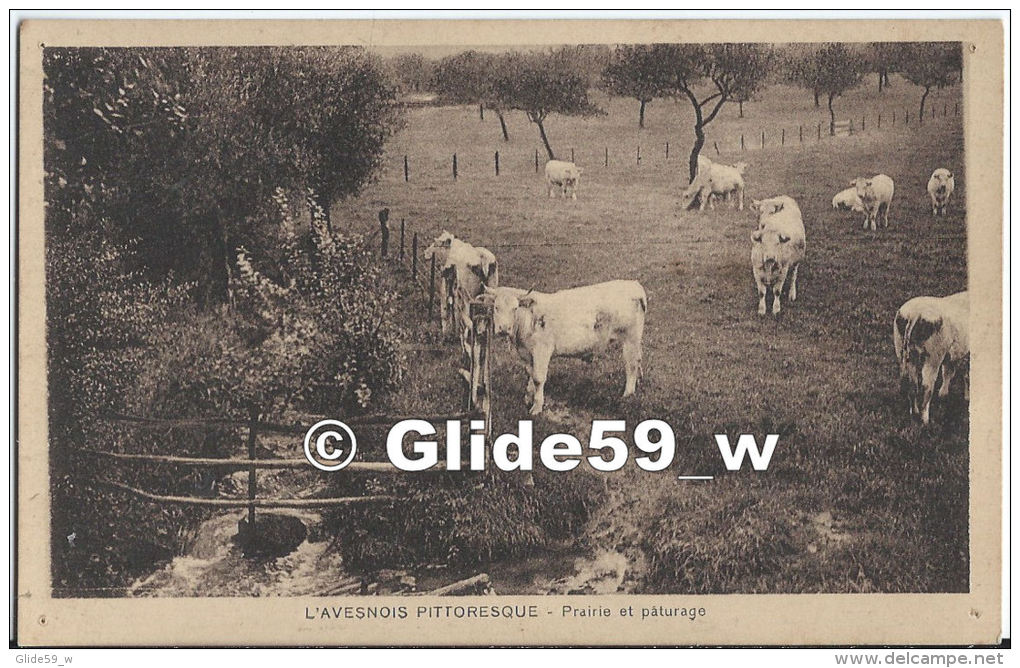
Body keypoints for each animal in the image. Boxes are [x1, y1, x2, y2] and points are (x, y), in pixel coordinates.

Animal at [483, 279, 644, 416]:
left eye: (515, 308)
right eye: (496, 307)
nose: (504, 329)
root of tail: (634, 285)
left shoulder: (542, 350)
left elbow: (538, 378)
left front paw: (537, 407)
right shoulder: (526, 353)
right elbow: (530, 373)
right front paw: (528, 399)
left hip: (630, 339)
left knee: (631, 365)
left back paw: (628, 394)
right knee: (638, 360)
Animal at [893, 291, 971, 426]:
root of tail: (914, 313)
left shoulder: (951, 355)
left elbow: (948, 372)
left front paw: (943, 395)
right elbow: (966, 374)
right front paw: (967, 397)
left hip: (903, 351)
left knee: (912, 385)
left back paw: (914, 414)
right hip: (933, 357)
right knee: (926, 387)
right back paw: (925, 421)